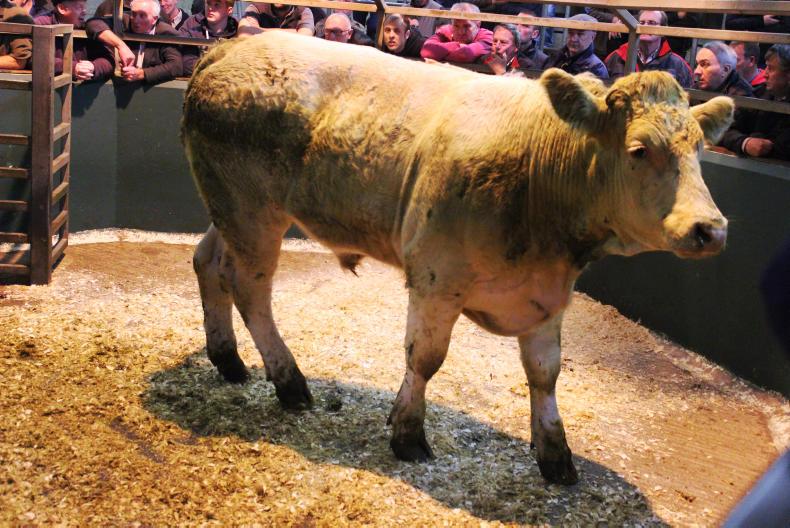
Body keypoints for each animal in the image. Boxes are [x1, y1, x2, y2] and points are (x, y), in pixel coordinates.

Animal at [182, 32, 734, 485]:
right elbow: (425, 358)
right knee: (250, 287)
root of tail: (231, 46)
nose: (711, 228)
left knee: (208, 262)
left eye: (698, 147)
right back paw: (289, 382)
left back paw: (228, 359)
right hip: (252, 210)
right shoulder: (436, 277)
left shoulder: (548, 294)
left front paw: (556, 454)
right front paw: (407, 434)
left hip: (228, 207)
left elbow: (545, 372)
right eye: (639, 149)